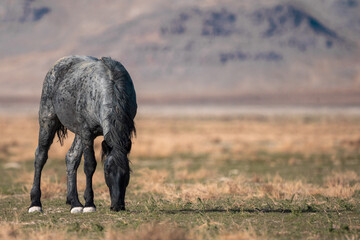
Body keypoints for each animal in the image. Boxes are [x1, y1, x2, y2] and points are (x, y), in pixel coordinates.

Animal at [28, 56, 137, 214]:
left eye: (127, 173)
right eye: (106, 172)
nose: (117, 206)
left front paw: (83, 203)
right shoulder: (87, 132)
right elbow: (90, 165)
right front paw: (90, 204)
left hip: (78, 134)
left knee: (71, 157)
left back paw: (74, 202)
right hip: (47, 121)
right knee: (40, 156)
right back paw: (35, 204)